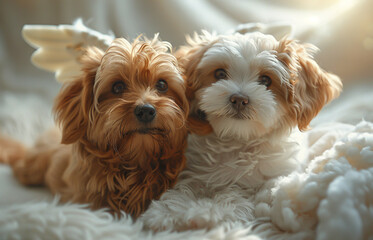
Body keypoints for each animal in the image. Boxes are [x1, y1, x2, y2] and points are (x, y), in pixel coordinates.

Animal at [140, 31, 340, 232]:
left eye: (266, 80)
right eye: (220, 73)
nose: (238, 99)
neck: (238, 139)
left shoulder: (259, 183)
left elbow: (234, 197)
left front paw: (205, 212)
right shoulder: (194, 171)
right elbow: (186, 187)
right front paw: (166, 212)